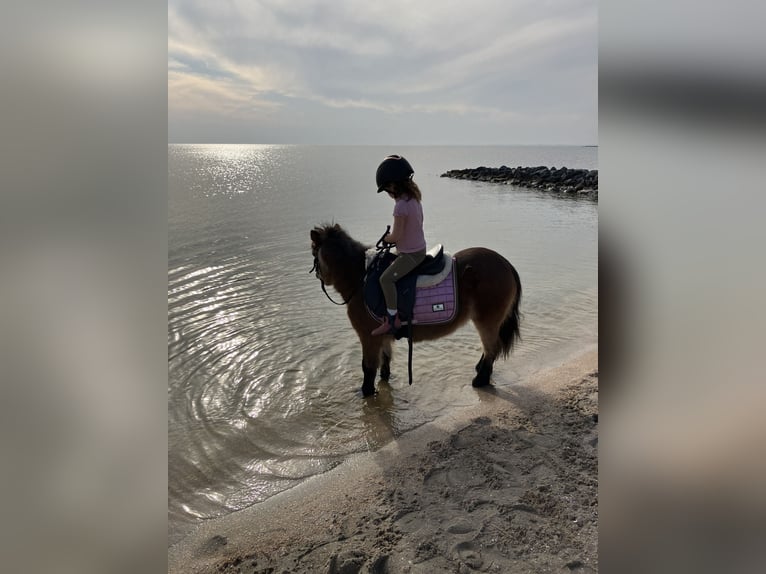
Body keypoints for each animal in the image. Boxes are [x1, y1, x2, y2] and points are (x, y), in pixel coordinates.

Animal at [310, 223, 520, 398]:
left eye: (313, 250)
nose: (320, 276)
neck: (361, 278)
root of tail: (505, 263)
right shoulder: (383, 336)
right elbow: (385, 361)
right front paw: (383, 381)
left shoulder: (369, 337)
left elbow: (368, 367)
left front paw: (366, 392)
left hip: (487, 321)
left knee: (491, 348)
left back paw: (480, 380)